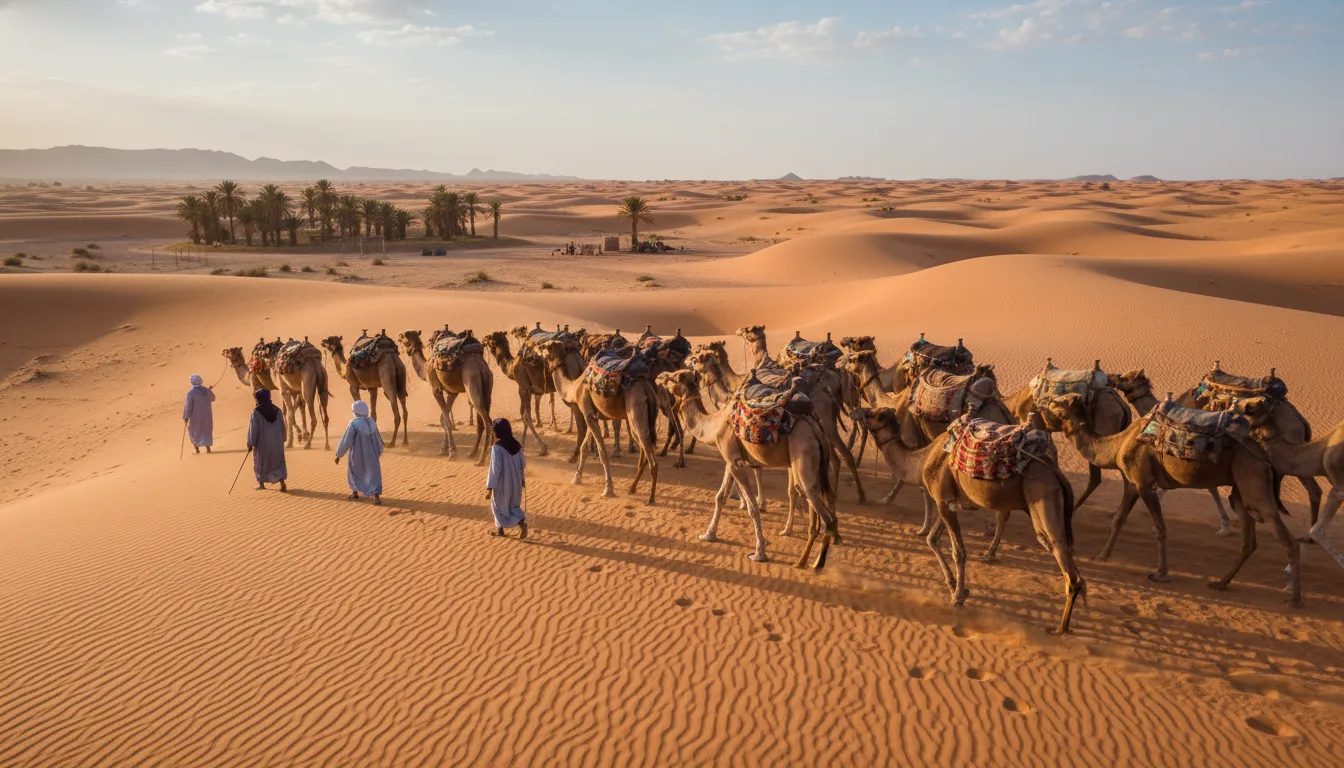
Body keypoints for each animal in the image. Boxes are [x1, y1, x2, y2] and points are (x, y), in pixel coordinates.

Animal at [398, 329, 494, 463]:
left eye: (405, 338)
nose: (399, 336)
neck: (425, 368)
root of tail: (479, 363)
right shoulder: (451, 393)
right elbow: (443, 418)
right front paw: (444, 450)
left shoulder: (436, 389)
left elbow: (446, 421)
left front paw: (452, 453)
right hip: (487, 382)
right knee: (486, 417)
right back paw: (474, 453)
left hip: (471, 380)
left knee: (485, 418)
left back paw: (481, 459)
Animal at [537, 339, 660, 504]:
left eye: (546, 346)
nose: (536, 345)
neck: (575, 387)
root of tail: (646, 388)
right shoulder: (592, 413)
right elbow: (584, 447)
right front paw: (576, 478)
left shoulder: (586, 409)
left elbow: (602, 451)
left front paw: (608, 489)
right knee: (643, 448)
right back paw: (632, 488)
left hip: (635, 407)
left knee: (648, 451)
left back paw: (650, 499)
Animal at [658, 369, 838, 568]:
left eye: (675, 377)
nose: (659, 377)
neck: (716, 424)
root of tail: (815, 430)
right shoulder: (731, 459)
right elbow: (720, 497)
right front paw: (708, 534)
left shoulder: (734, 461)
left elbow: (753, 508)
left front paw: (759, 553)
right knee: (819, 500)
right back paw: (805, 558)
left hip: (803, 450)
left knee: (821, 509)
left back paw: (815, 564)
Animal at [920, 418, 1085, 635]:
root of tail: (1057, 473)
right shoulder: (950, 502)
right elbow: (932, 539)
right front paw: (957, 587)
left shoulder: (942, 501)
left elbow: (958, 552)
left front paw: (957, 598)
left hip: (1041, 494)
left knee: (1057, 550)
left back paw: (1060, 629)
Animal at [1040, 393, 1300, 605]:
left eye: (1056, 404)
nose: (1041, 405)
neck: (1118, 444)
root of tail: (1264, 457)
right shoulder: (1134, 484)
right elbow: (1119, 520)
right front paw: (1103, 555)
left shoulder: (1143, 483)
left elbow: (1159, 528)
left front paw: (1160, 573)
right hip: (1240, 488)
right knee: (1248, 540)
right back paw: (1220, 583)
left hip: (1253, 478)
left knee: (1286, 537)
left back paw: (1294, 599)